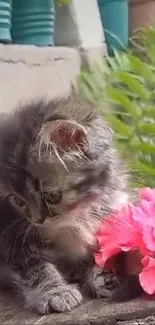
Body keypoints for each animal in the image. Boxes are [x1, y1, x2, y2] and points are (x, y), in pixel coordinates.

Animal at [0, 93, 140, 314]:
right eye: (16, 200)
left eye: (51, 196)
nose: (37, 220)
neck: (74, 218)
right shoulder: (11, 237)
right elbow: (36, 268)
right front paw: (56, 292)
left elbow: (102, 251)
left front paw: (104, 276)